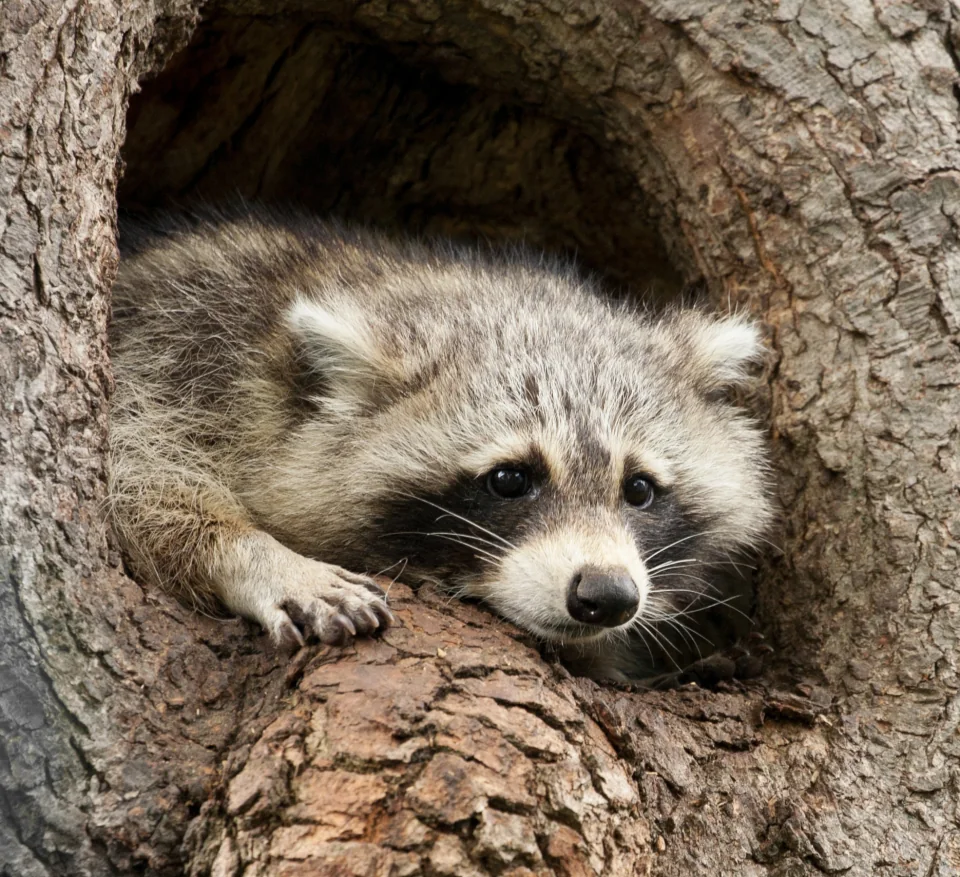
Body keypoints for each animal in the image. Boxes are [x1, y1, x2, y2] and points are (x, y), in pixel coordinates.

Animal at [109, 208, 773, 679]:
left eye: (638, 489)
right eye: (510, 478)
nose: (607, 595)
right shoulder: (177, 346)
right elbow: (137, 483)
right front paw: (256, 555)